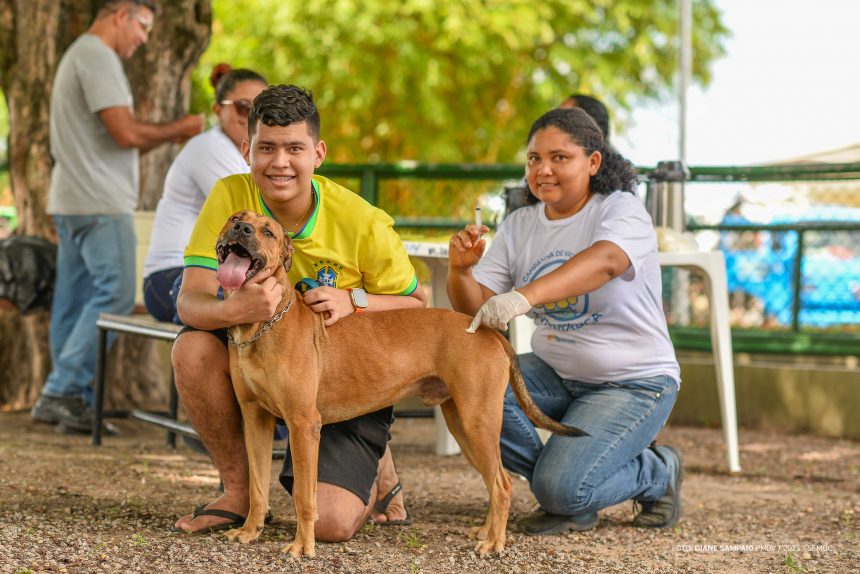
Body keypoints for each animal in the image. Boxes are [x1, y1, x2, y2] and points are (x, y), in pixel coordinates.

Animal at [215, 212, 584, 560]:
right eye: (235, 218)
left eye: (267, 231)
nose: (241, 230)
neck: (262, 324)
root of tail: (487, 330)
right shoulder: (255, 421)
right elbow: (257, 486)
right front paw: (250, 531)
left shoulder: (303, 424)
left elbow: (305, 495)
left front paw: (303, 546)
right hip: (463, 425)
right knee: (493, 483)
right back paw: (486, 531)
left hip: (478, 422)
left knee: (503, 486)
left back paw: (494, 542)